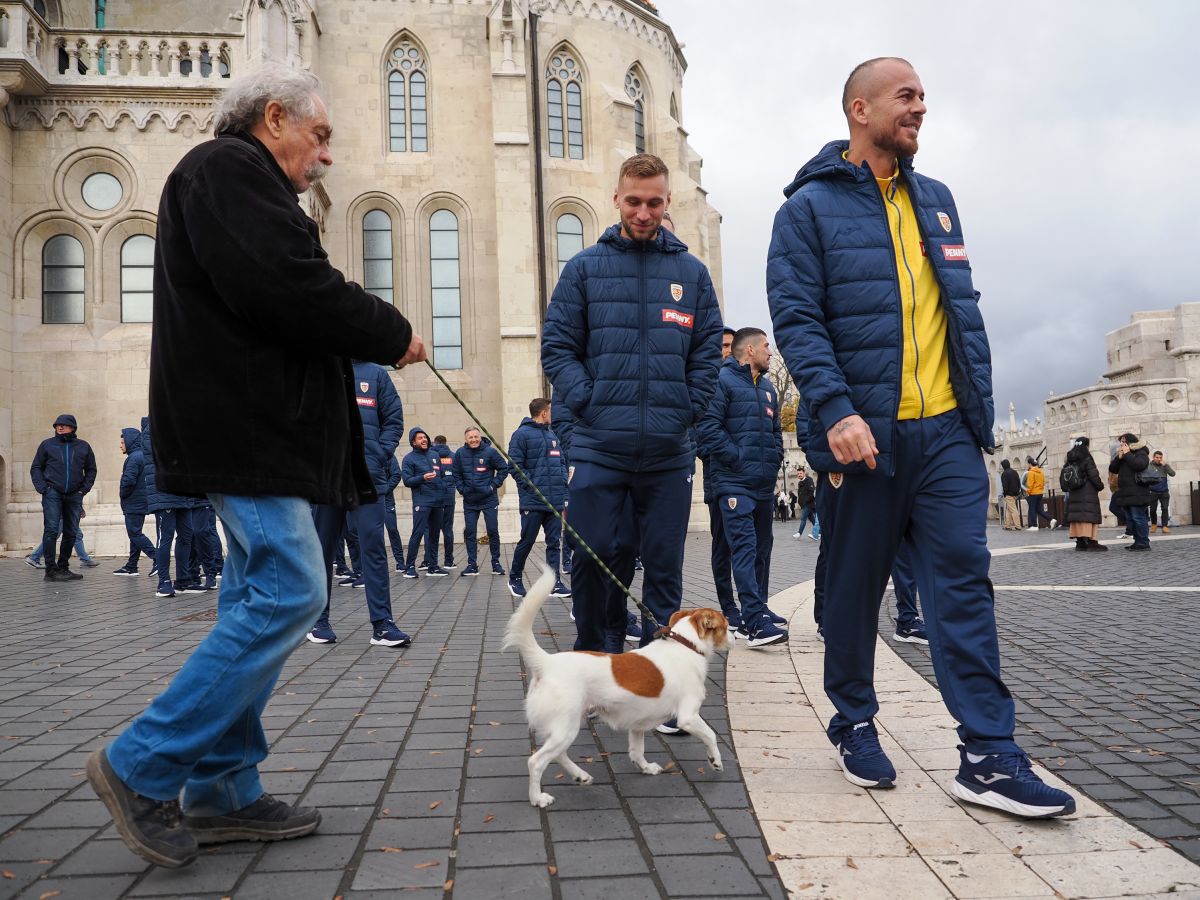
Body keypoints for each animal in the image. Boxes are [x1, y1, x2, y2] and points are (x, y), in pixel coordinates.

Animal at [499, 573, 724, 816]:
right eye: (725, 626)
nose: (733, 636)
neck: (686, 644)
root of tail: (547, 662)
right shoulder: (688, 717)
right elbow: (710, 735)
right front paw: (715, 760)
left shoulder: (638, 724)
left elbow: (636, 752)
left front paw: (646, 768)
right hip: (566, 727)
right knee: (536, 762)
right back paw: (538, 798)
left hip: (565, 727)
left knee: (558, 754)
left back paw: (580, 776)